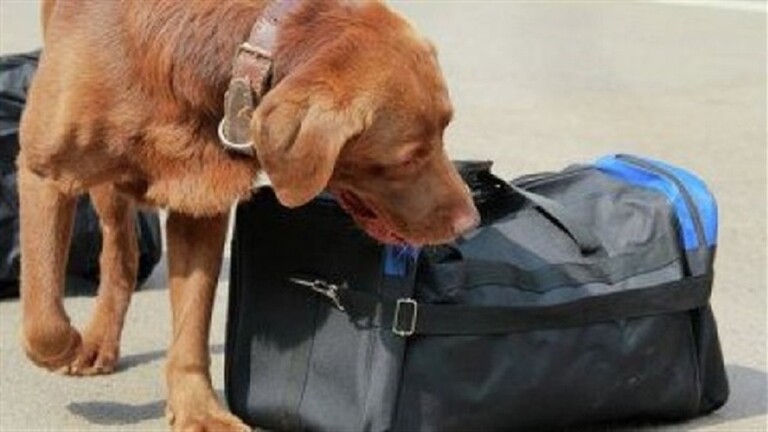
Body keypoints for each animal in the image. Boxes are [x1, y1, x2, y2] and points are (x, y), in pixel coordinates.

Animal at [18, 0, 479, 430]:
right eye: (407, 158)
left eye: (445, 130)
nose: (471, 223)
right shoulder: (42, 171)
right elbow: (43, 319)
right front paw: (70, 345)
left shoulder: (200, 195)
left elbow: (192, 326)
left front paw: (197, 409)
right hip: (103, 184)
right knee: (119, 249)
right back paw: (96, 340)